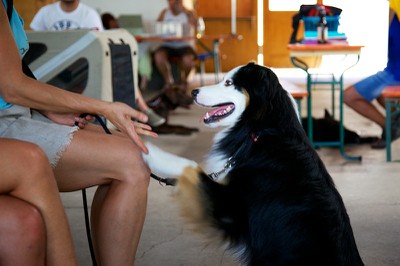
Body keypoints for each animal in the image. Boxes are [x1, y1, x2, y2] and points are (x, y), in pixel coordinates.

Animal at [145, 62, 366, 266]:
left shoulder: (232, 209)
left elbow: (190, 166)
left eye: (229, 83)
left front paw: (151, 152)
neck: (259, 131)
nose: (193, 92)